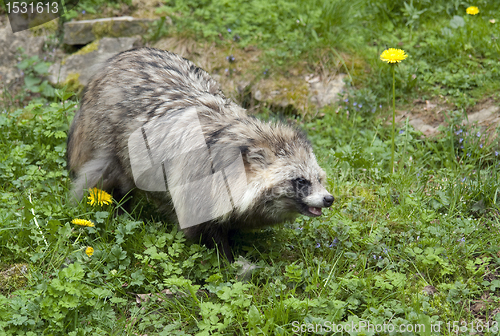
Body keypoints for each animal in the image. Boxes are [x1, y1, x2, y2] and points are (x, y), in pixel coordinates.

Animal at [65, 48, 332, 262]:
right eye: (300, 181)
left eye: (320, 178)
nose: (329, 199)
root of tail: (116, 59)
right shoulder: (196, 184)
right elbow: (204, 232)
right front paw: (228, 260)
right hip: (107, 143)